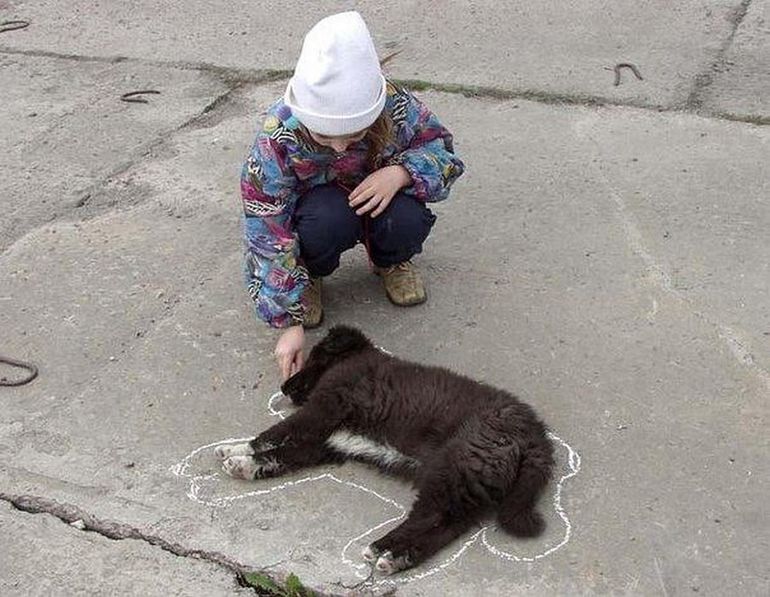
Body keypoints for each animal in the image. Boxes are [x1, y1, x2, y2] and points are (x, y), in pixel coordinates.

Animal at [216, 326, 552, 572]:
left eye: (313, 359)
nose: (284, 388)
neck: (353, 360)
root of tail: (536, 436)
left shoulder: (323, 407)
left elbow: (274, 433)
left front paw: (235, 450)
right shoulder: (328, 443)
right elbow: (284, 454)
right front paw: (244, 463)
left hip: (453, 467)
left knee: (426, 517)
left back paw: (383, 548)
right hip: (470, 485)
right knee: (444, 527)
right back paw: (399, 558)